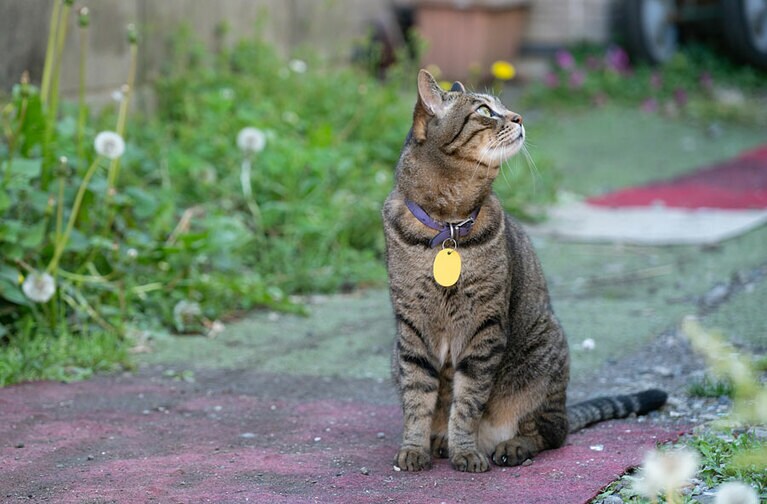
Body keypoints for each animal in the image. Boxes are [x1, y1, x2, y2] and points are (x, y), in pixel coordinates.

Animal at [384, 70, 664, 472]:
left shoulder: (484, 329)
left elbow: (466, 403)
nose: (518, 117)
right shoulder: (411, 330)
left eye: (503, 107)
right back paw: (439, 441)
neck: (448, 224)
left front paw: (465, 451)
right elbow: (417, 399)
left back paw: (510, 446)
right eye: (485, 110)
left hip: (542, 360)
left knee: (551, 432)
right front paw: (414, 448)